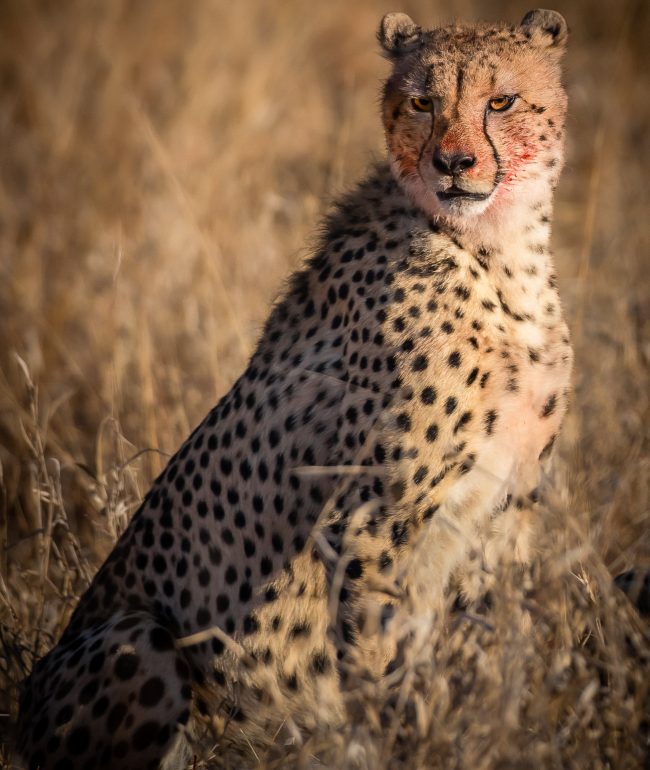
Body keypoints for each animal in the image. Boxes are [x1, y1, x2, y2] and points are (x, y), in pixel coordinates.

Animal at [16, 8, 579, 769]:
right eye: (422, 102)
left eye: (501, 101)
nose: (453, 164)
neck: (497, 252)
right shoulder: (373, 518)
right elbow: (379, 662)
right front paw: (397, 744)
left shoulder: (507, 510)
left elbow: (490, 650)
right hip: (140, 637)